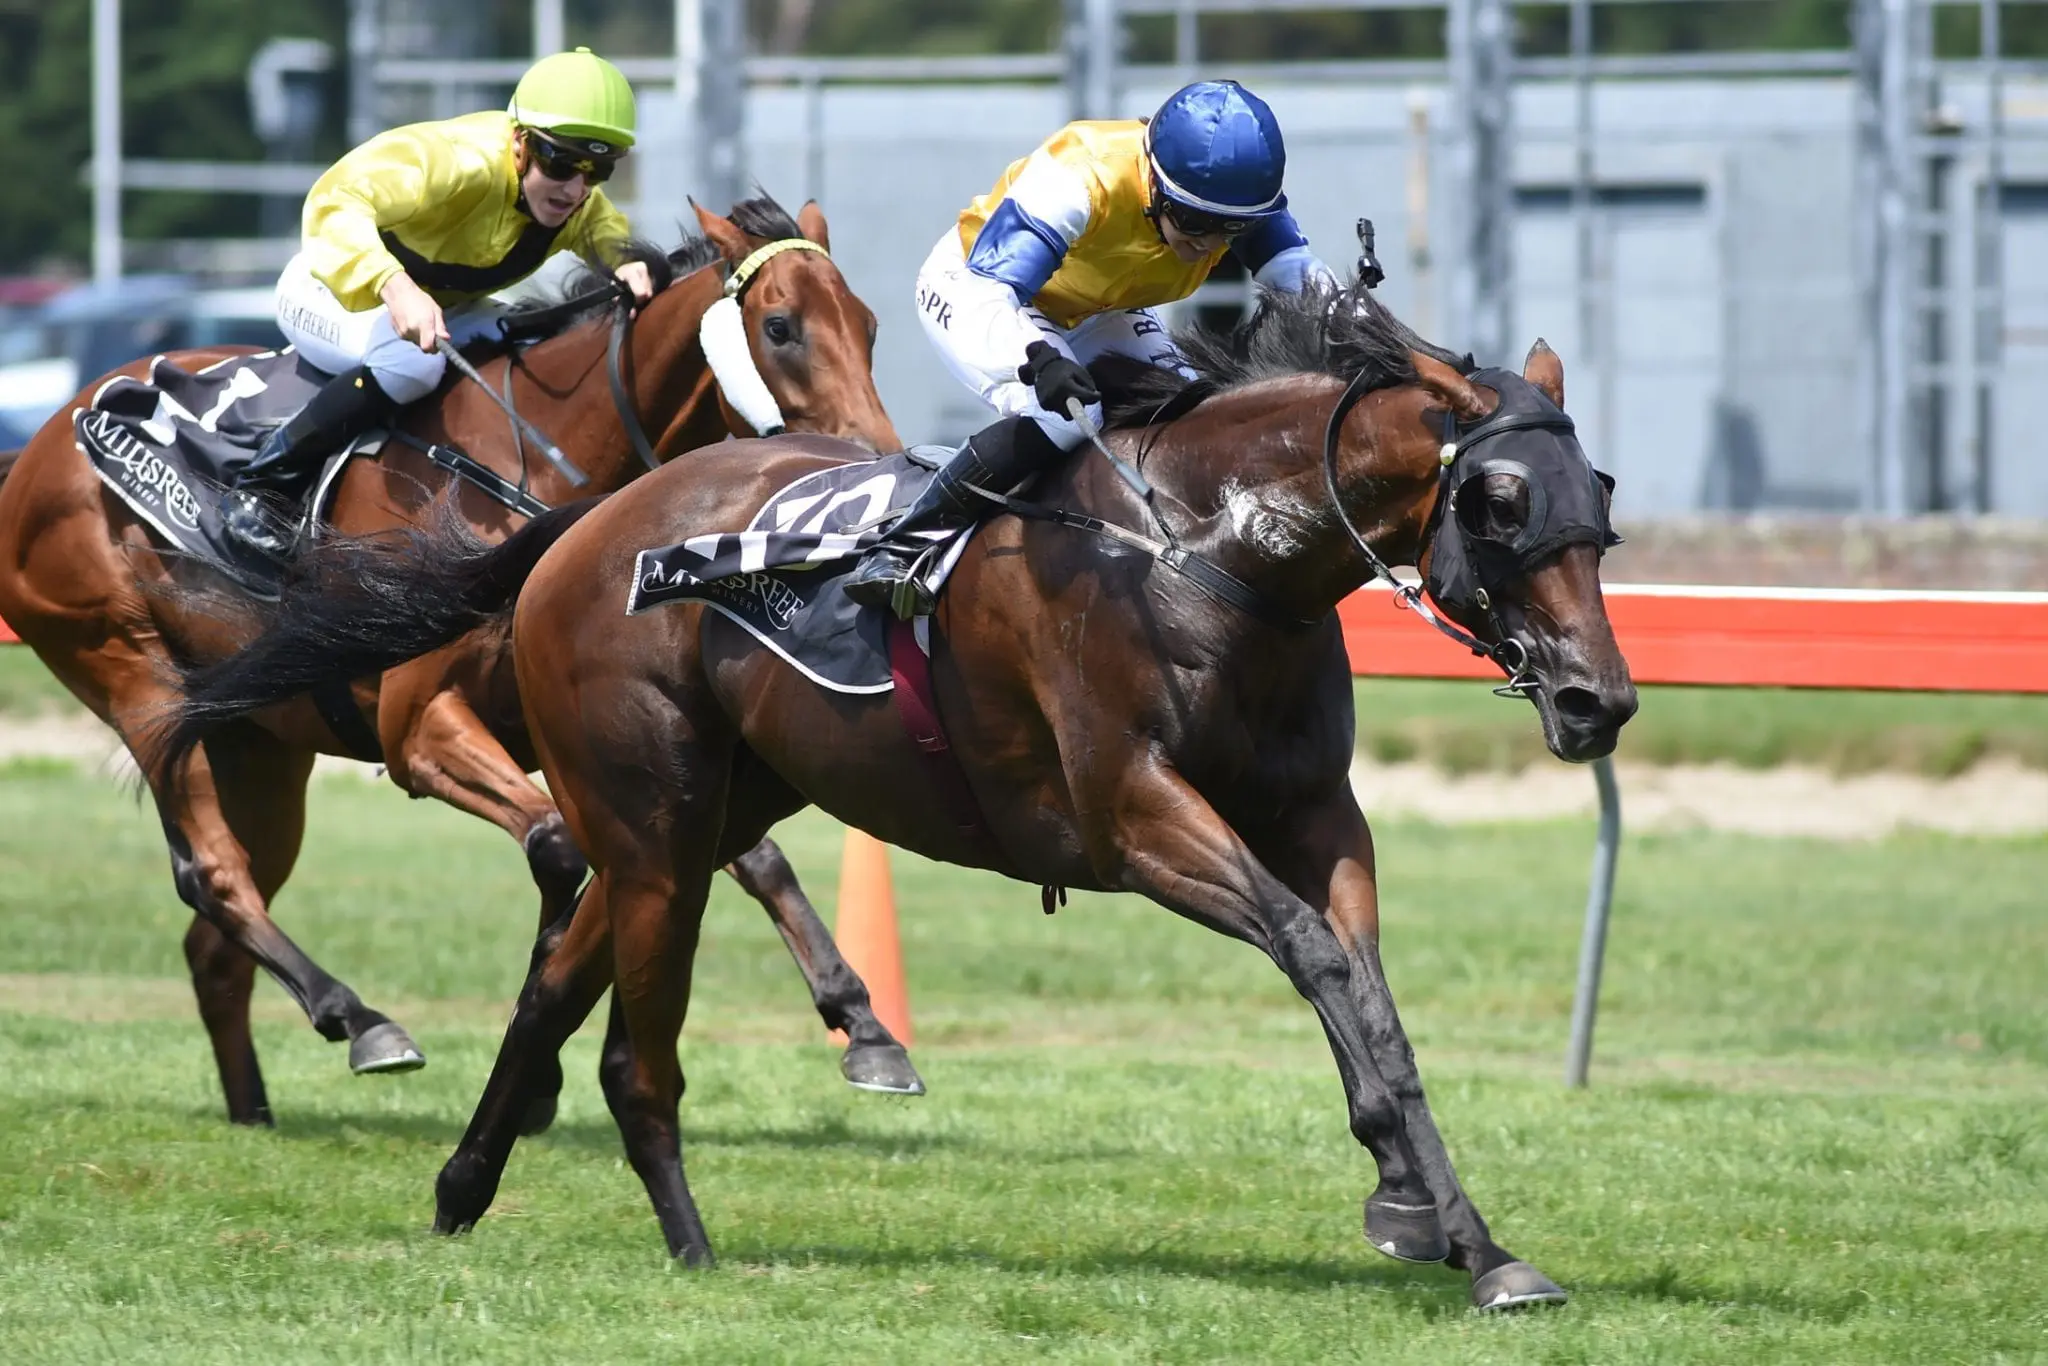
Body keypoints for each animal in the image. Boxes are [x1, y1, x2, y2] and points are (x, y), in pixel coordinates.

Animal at [159, 282, 1638, 1310]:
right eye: (1498, 499)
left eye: (1600, 494)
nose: (1599, 700)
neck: (1214, 552)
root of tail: (586, 525)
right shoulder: (1136, 818)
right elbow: (1313, 953)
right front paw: (1418, 1202)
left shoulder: (1321, 817)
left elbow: (1369, 992)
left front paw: (1464, 1234)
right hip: (651, 819)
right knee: (632, 1048)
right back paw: (688, 1245)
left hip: (705, 816)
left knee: (554, 983)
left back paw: (464, 1187)